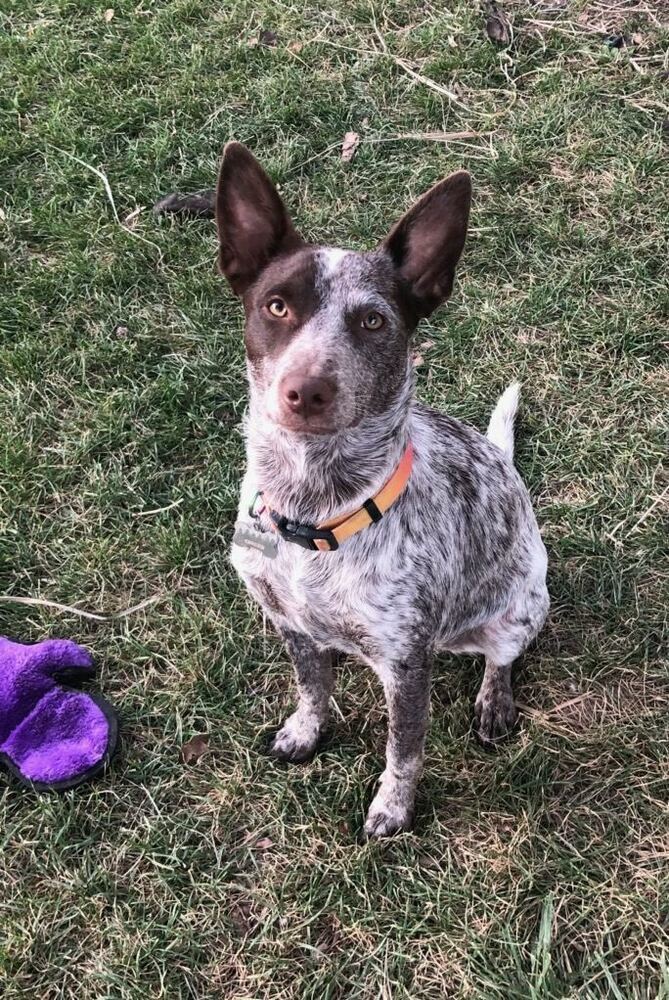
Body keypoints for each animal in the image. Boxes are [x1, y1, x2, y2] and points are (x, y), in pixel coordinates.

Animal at [160, 145, 548, 836]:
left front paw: (393, 807)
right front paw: (306, 730)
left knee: (499, 658)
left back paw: (493, 700)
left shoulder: (405, 665)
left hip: (521, 609)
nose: (306, 390)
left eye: (372, 321)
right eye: (277, 306)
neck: (312, 508)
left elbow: (404, 748)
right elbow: (311, 688)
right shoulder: (287, 621)